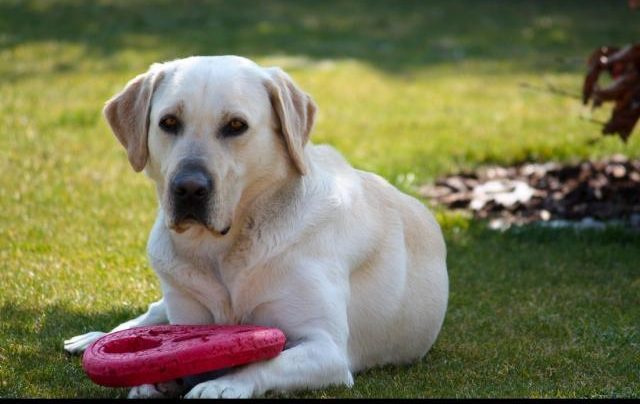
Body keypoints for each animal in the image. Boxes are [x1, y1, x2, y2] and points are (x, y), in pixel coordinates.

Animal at [62, 55, 448, 400]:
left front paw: (222, 384)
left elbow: (266, 362)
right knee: (155, 312)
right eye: (169, 122)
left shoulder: (327, 349)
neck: (222, 248)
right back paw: (95, 338)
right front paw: (150, 380)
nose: (188, 188)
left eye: (236, 125)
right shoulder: (189, 318)